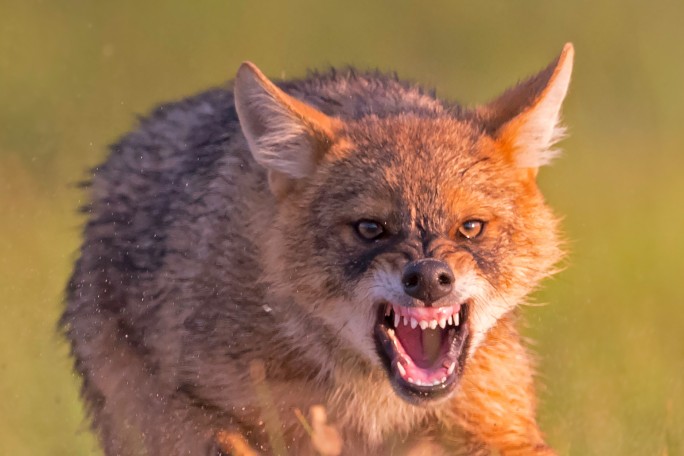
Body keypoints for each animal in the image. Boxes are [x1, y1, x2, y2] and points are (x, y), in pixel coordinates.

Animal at [64, 43, 576, 456]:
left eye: (470, 227)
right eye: (370, 228)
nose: (429, 278)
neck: (370, 405)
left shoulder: (498, 425)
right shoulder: (189, 411)